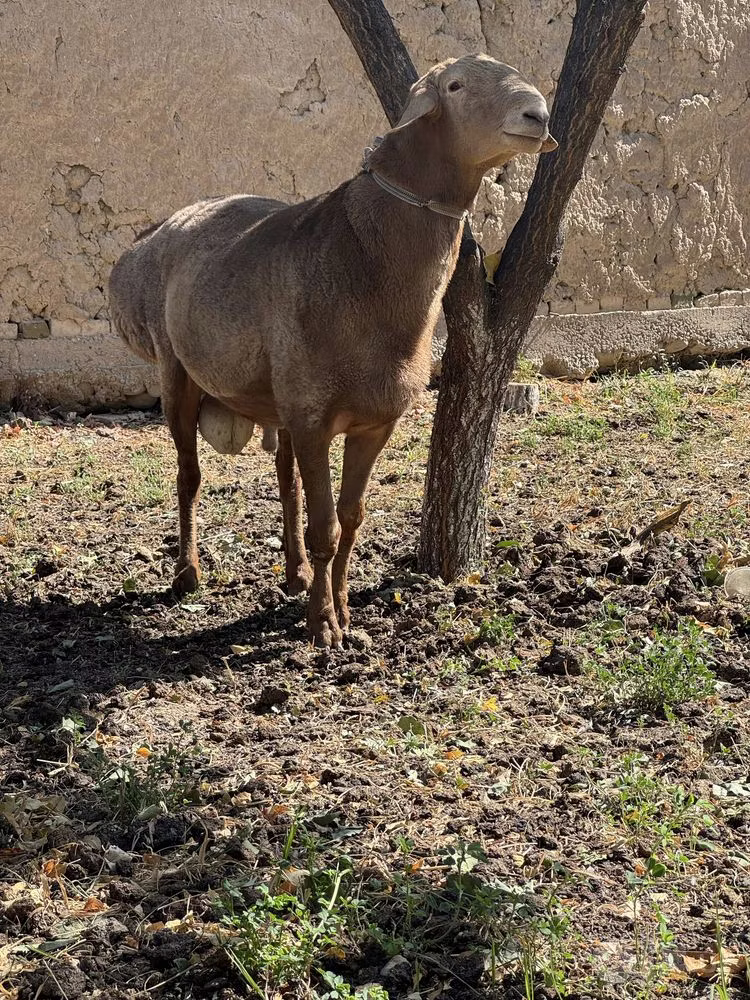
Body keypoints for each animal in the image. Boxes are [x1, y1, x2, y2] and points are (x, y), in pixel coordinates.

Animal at [109, 53, 557, 647]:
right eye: (456, 86)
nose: (537, 114)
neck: (365, 259)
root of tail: (154, 234)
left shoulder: (374, 420)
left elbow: (351, 515)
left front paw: (342, 607)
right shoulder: (314, 416)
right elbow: (324, 524)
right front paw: (323, 625)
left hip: (277, 397)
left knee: (285, 479)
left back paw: (295, 572)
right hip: (177, 368)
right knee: (189, 476)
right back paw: (188, 574)